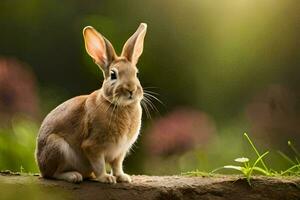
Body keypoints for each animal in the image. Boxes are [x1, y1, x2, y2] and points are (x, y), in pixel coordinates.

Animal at [34, 22, 146, 184]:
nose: (131, 89)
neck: (119, 105)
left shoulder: (119, 153)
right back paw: (74, 176)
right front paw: (106, 178)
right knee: (53, 174)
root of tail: (40, 165)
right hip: (57, 148)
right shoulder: (93, 146)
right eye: (113, 75)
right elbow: (99, 164)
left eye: (136, 73)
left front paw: (123, 178)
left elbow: (117, 166)